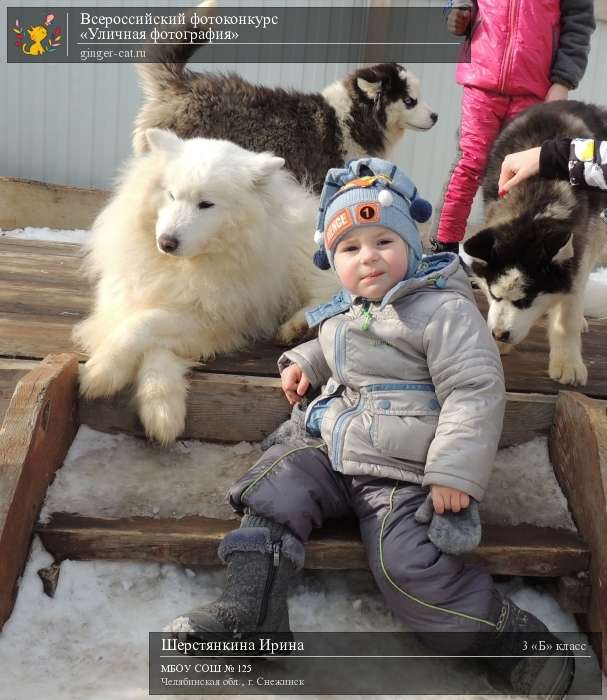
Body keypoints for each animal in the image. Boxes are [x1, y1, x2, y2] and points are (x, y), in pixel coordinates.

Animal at [74, 131, 340, 442]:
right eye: (171, 195)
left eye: (206, 204)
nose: (166, 242)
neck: (186, 268)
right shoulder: (131, 301)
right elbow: (150, 340)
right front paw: (161, 408)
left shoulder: (213, 318)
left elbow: (142, 326)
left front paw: (101, 373)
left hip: (307, 263)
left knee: (330, 296)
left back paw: (298, 326)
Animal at [466, 101, 607, 386]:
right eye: (494, 295)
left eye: (526, 300)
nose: (499, 334)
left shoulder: (579, 247)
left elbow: (568, 311)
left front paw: (568, 362)